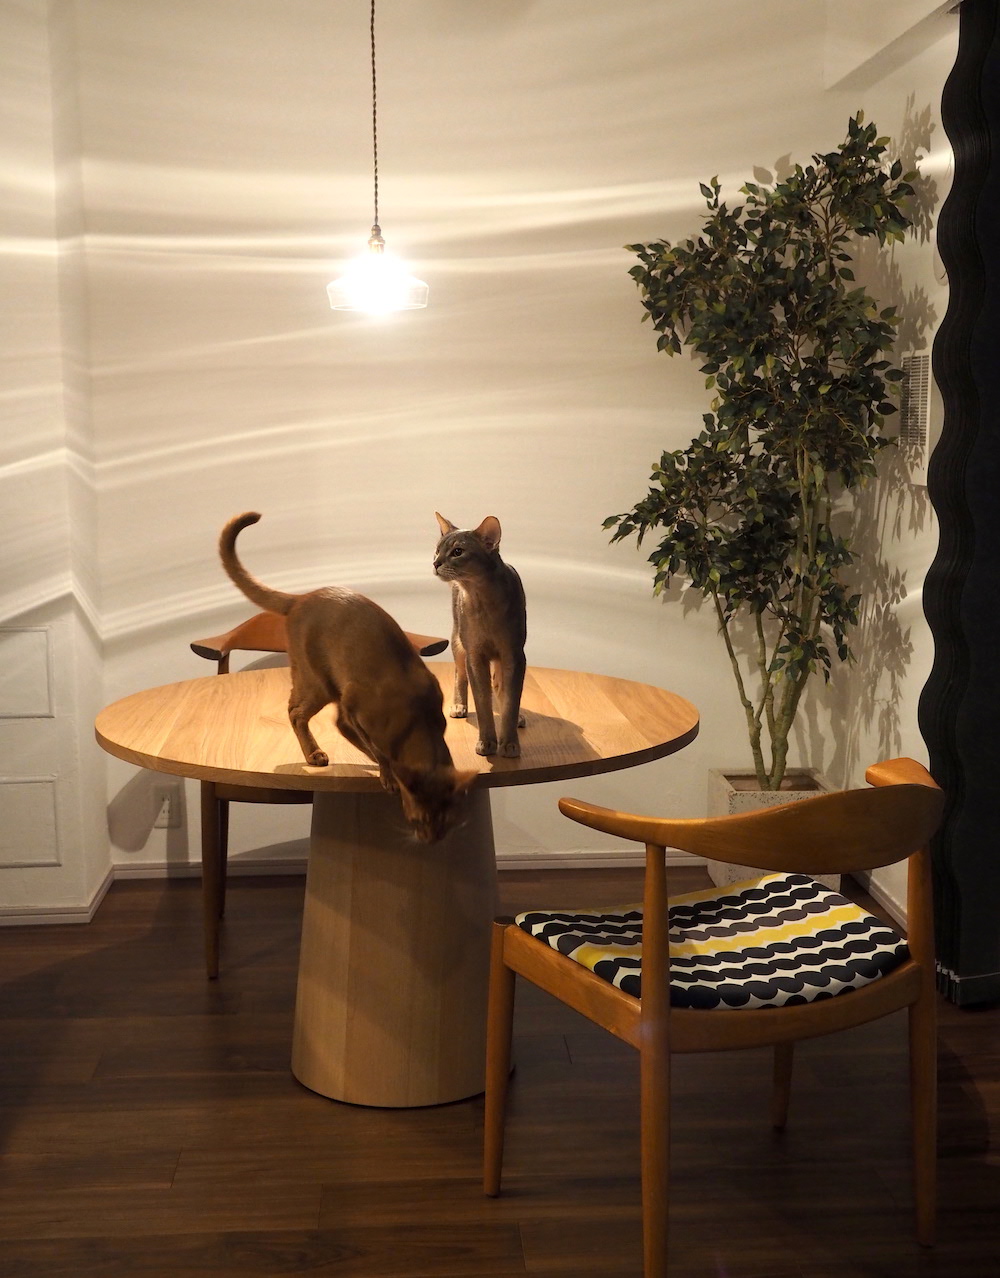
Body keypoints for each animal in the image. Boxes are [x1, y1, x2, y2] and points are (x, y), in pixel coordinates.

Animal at [219, 512, 475, 842]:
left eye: (448, 820)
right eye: (418, 820)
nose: (430, 840)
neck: (415, 720)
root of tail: (301, 597)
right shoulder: (354, 709)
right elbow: (370, 745)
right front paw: (386, 774)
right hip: (320, 684)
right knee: (295, 711)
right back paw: (314, 754)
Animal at [433, 514, 527, 758]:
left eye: (457, 552)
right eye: (437, 550)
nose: (435, 563)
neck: (482, 600)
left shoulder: (514, 654)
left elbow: (511, 700)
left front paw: (509, 743)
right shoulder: (474, 655)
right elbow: (483, 702)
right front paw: (487, 742)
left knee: (500, 686)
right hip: (458, 643)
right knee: (459, 674)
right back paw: (458, 706)